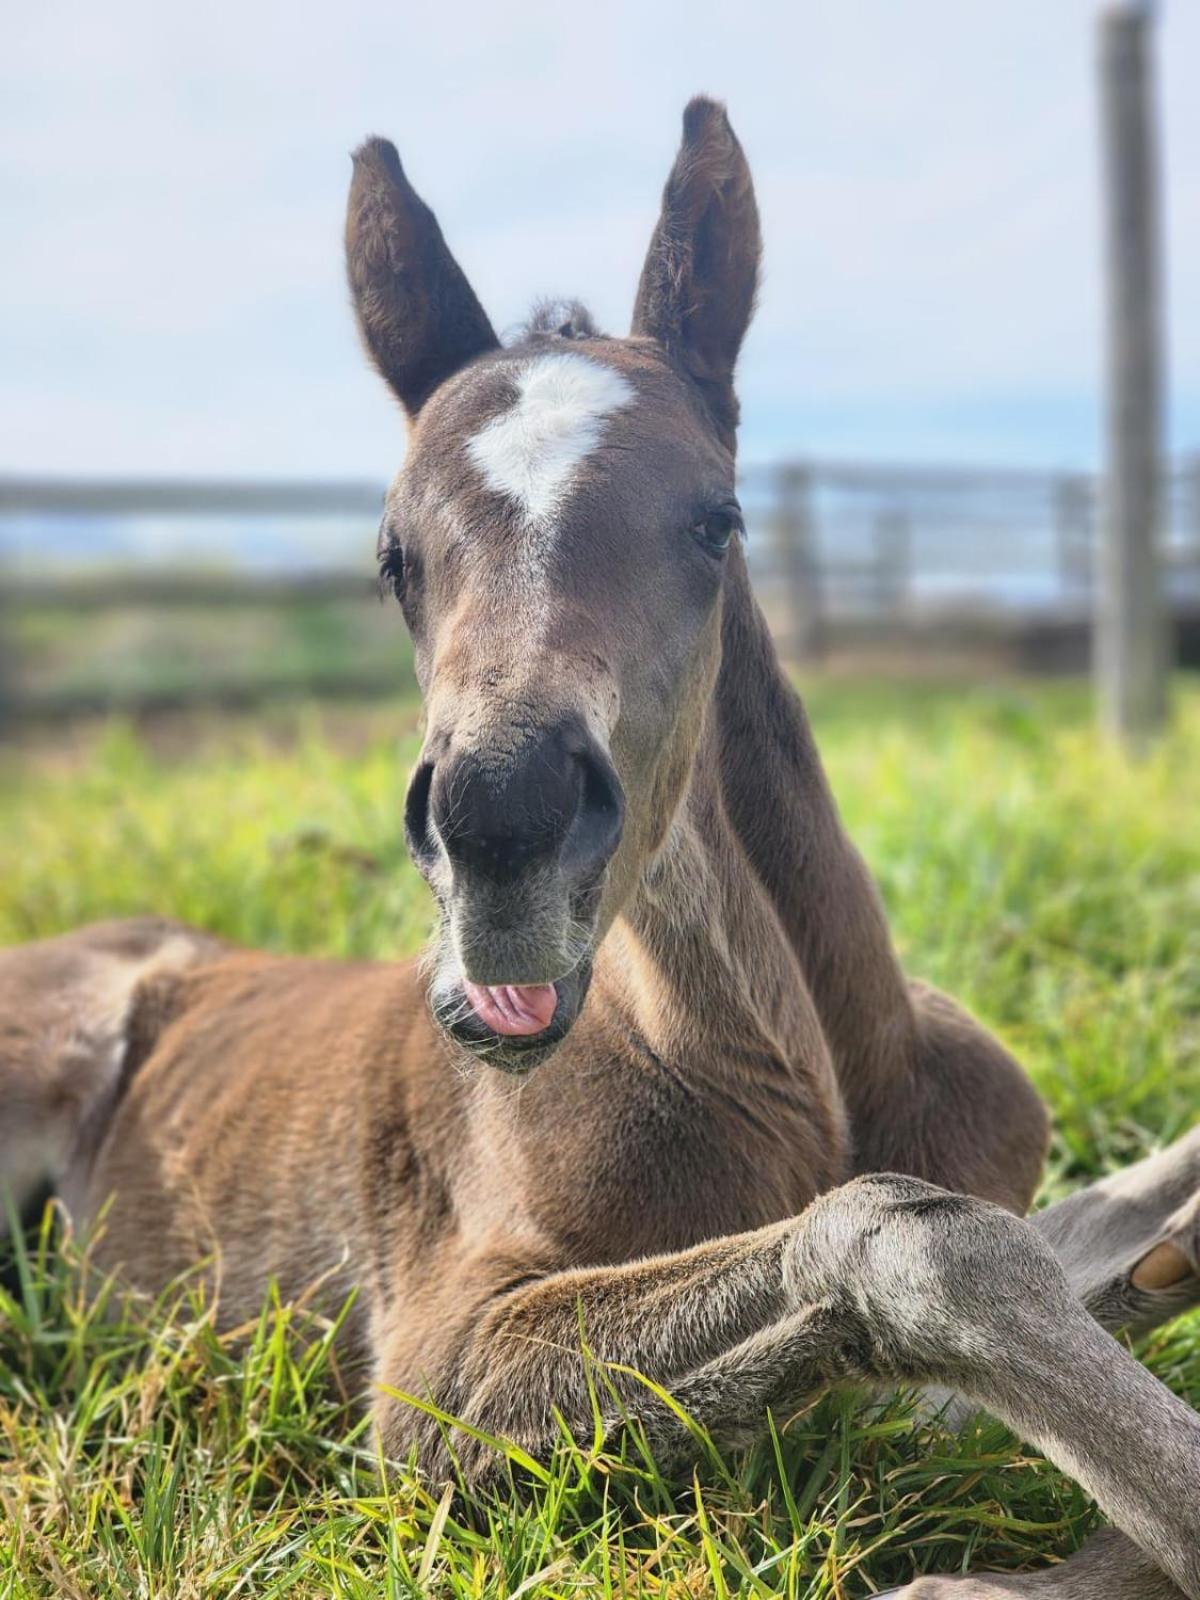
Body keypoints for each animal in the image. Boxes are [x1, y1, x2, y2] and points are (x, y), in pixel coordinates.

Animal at [2, 103, 1200, 1600]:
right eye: (394, 557)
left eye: (715, 520)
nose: (500, 827)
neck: (812, 1070)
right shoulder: (438, 1375)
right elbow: (911, 1243)